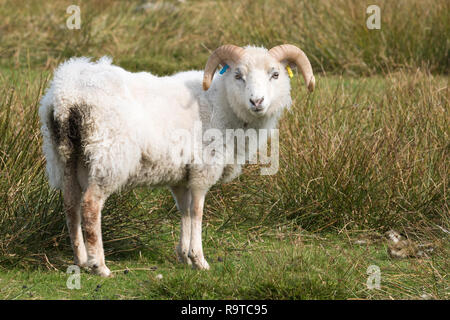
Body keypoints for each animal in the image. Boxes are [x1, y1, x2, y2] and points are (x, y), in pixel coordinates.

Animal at [39, 43, 316, 276]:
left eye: (275, 75)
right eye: (238, 75)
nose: (256, 101)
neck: (221, 103)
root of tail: (66, 96)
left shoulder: (182, 175)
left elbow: (184, 211)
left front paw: (183, 256)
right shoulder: (203, 169)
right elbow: (197, 212)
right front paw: (199, 259)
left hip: (65, 156)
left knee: (70, 203)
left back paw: (80, 260)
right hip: (109, 158)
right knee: (90, 205)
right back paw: (100, 266)